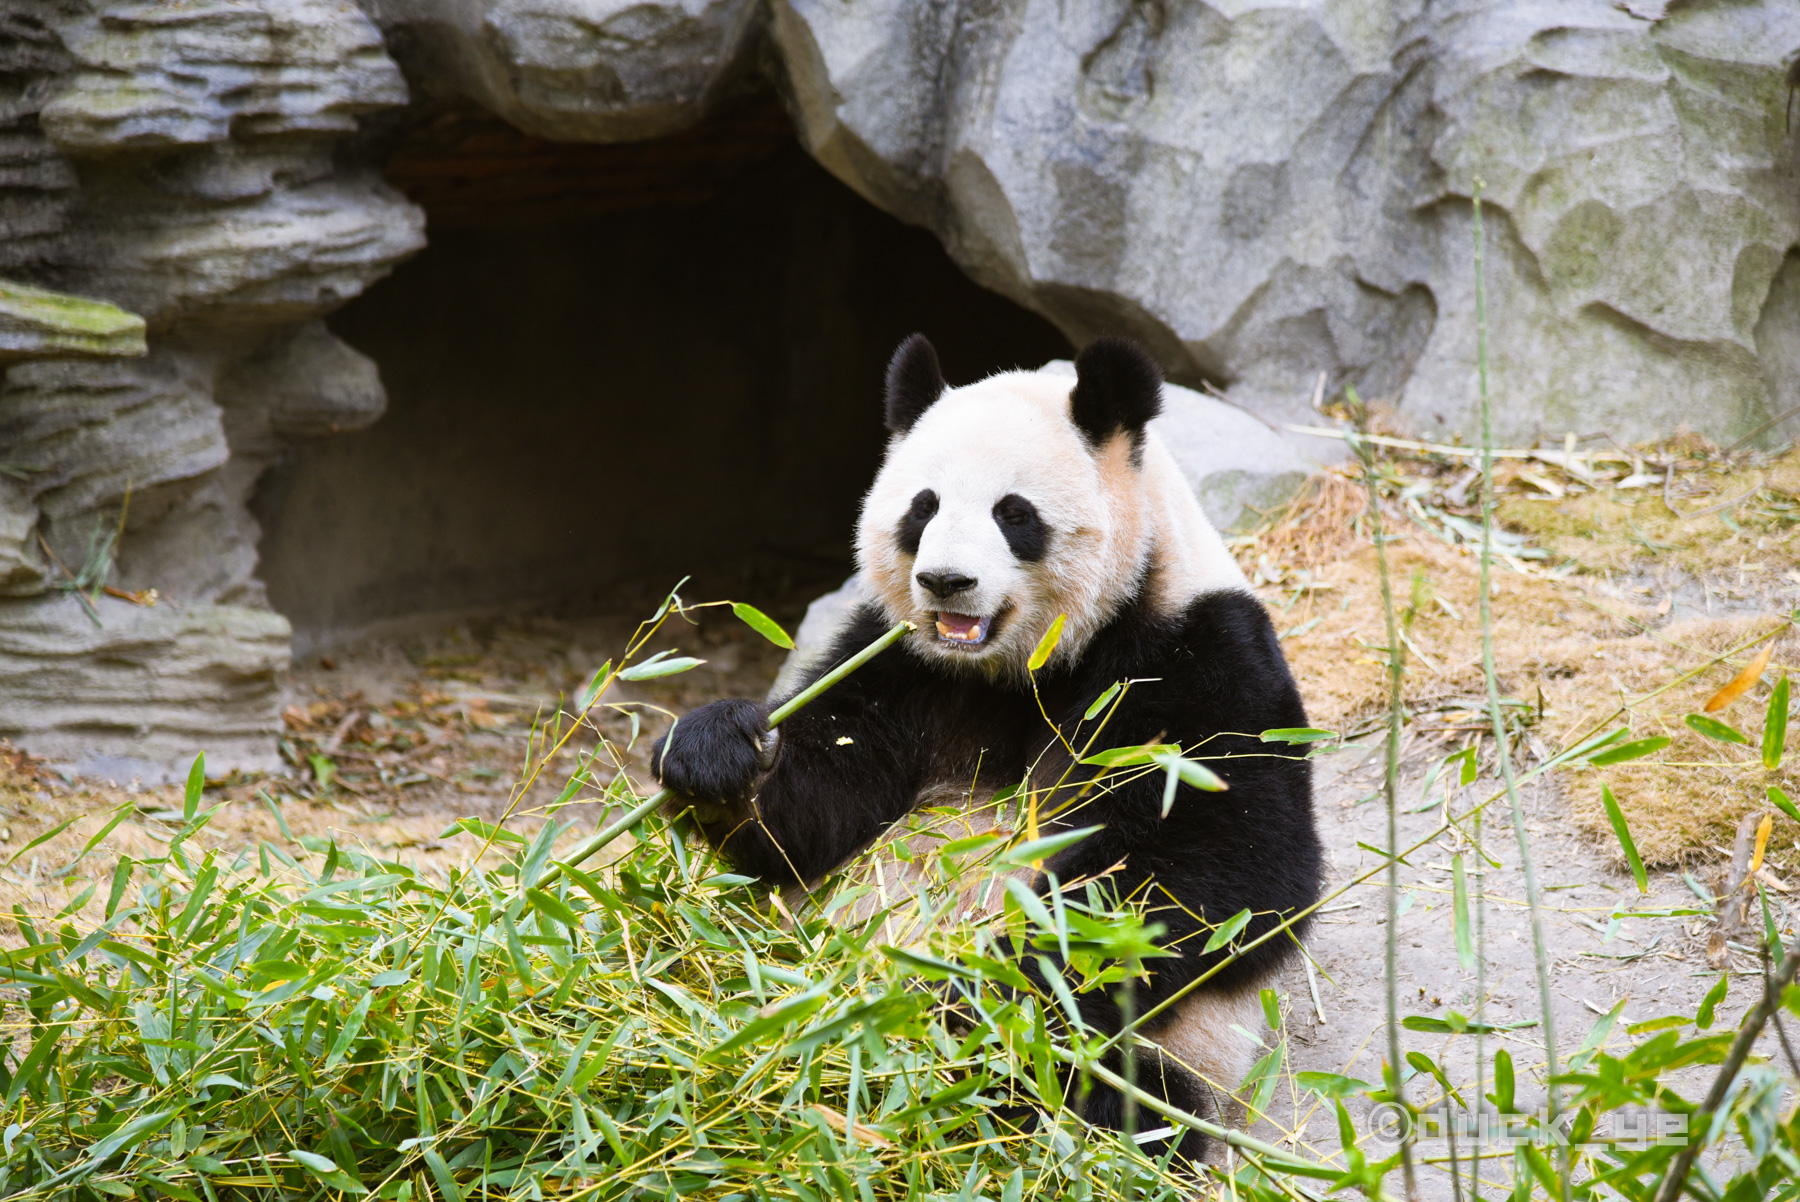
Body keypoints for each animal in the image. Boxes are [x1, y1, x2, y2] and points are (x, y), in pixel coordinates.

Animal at [658, 332, 1324, 1158]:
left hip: (1179, 1056)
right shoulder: (899, 664)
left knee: (1099, 1100)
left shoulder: (1203, 653)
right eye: (922, 507)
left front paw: (979, 1000)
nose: (945, 581)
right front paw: (719, 754)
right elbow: (817, 806)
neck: (1016, 669)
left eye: (1014, 513)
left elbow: (1218, 868)